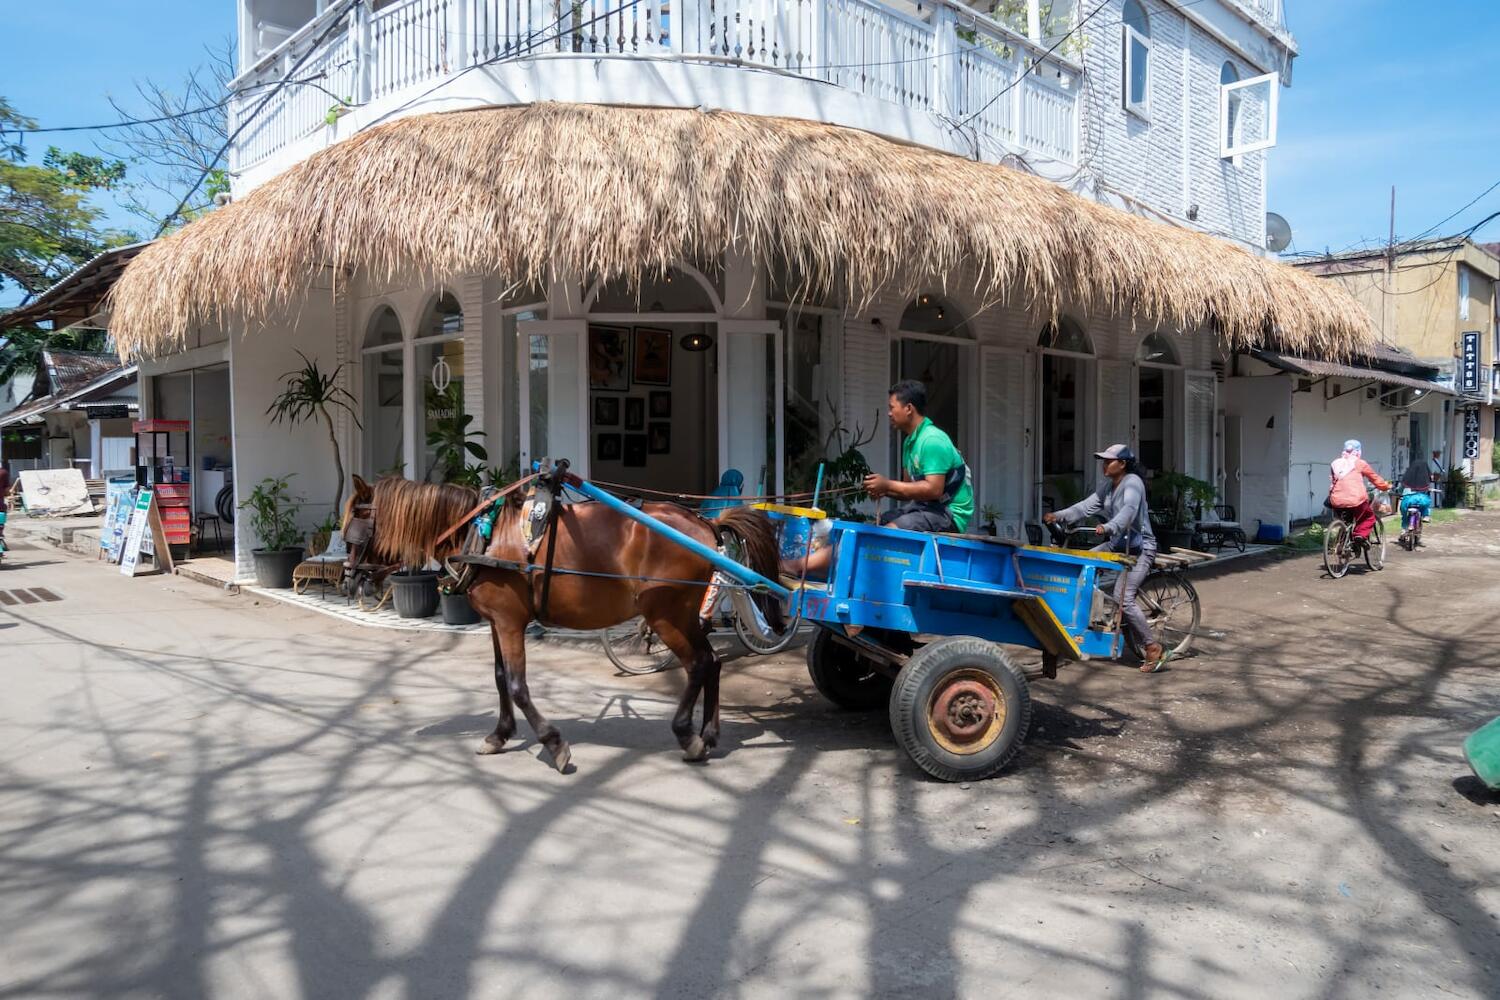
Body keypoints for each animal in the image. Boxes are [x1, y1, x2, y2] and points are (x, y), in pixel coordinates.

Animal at [343, 473, 780, 773]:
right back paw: (709, 734)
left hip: (665, 614)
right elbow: (500, 678)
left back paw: (688, 735)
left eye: (353, 531)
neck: (480, 535)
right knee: (713, 663)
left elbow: (517, 685)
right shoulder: (496, 622)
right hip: (682, 614)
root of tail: (705, 525)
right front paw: (499, 734)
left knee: (700, 664)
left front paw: (553, 744)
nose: (349, 580)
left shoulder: (509, 622)